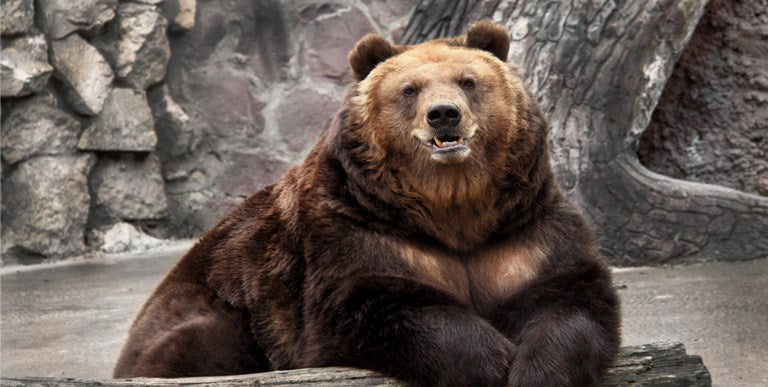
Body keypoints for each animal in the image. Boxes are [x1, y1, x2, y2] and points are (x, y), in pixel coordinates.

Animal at [112, 22, 616, 387]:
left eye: (468, 81)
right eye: (410, 89)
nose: (444, 114)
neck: (455, 207)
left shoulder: (521, 230)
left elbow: (568, 298)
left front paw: (536, 371)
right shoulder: (359, 226)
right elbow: (376, 302)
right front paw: (489, 364)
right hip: (218, 308)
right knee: (198, 346)